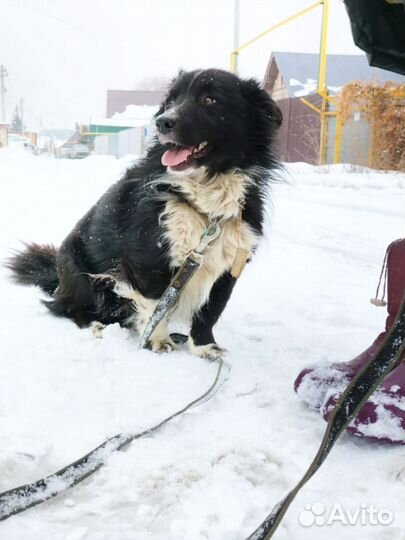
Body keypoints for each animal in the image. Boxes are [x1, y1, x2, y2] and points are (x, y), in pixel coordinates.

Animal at [7, 69, 280, 358]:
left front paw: (204, 346)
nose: (162, 122)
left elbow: (210, 311)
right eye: (171, 101)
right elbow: (156, 304)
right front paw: (157, 340)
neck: (205, 196)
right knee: (69, 309)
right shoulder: (148, 258)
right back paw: (98, 326)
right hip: (79, 272)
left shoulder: (229, 263)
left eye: (210, 99)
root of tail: (57, 279)